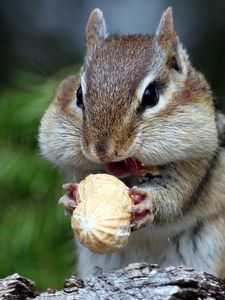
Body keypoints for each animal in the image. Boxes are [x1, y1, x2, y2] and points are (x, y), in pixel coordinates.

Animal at [38, 7, 225, 278]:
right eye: (79, 95)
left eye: (151, 95)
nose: (103, 152)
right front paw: (70, 199)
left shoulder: (198, 159)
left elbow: (177, 194)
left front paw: (148, 203)